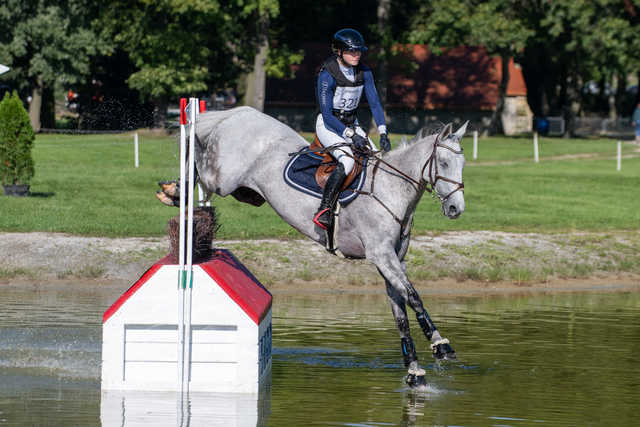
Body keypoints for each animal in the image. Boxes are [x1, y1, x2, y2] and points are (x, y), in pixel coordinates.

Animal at [158, 107, 468, 388]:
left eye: (462, 162)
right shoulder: (381, 256)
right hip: (223, 178)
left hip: (246, 192)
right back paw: (174, 188)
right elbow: (414, 296)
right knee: (200, 162)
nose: (456, 209)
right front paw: (441, 345)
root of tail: (239, 113)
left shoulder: (392, 261)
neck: (390, 190)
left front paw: (414, 370)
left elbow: (400, 312)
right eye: (443, 162)